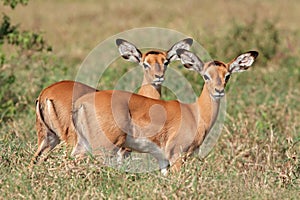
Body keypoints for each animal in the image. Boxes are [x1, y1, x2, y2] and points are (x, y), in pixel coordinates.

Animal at [31, 37, 193, 166]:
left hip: (48, 138)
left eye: (165, 62)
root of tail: (46, 93)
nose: (158, 77)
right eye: (145, 63)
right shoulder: (122, 151)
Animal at [71, 48, 258, 173]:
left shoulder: (162, 159)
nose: (219, 91)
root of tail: (81, 103)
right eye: (206, 76)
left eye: (227, 75)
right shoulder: (177, 155)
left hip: (83, 145)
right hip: (104, 147)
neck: (196, 114)